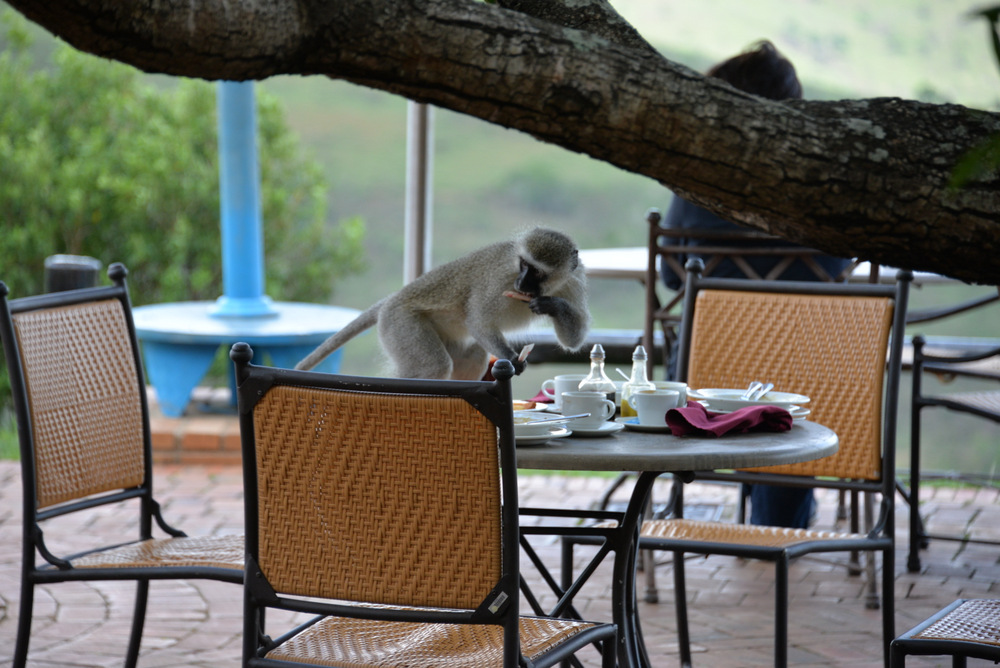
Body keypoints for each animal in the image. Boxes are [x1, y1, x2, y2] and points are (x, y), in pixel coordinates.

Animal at [296, 227, 592, 378]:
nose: (520, 285)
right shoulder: (499, 280)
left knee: (473, 356)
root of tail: (393, 299)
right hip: (400, 323)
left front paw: (551, 305)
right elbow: (479, 321)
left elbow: (572, 341)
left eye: (537, 272)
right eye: (523, 265)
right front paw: (511, 358)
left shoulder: (574, 283)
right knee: (434, 365)